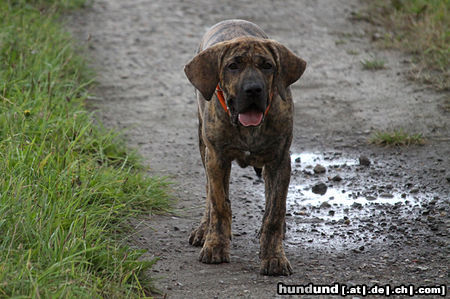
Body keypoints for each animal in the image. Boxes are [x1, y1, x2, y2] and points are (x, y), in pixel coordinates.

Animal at [183, 18, 306, 276]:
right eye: (233, 66)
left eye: (268, 66)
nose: (253, 89)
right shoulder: (216, 158)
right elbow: (219, 204)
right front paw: (215, 245)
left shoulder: (280, 161)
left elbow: (274, 212)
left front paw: (274, 256)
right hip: (203, 146)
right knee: (210, 193)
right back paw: (204, 229)